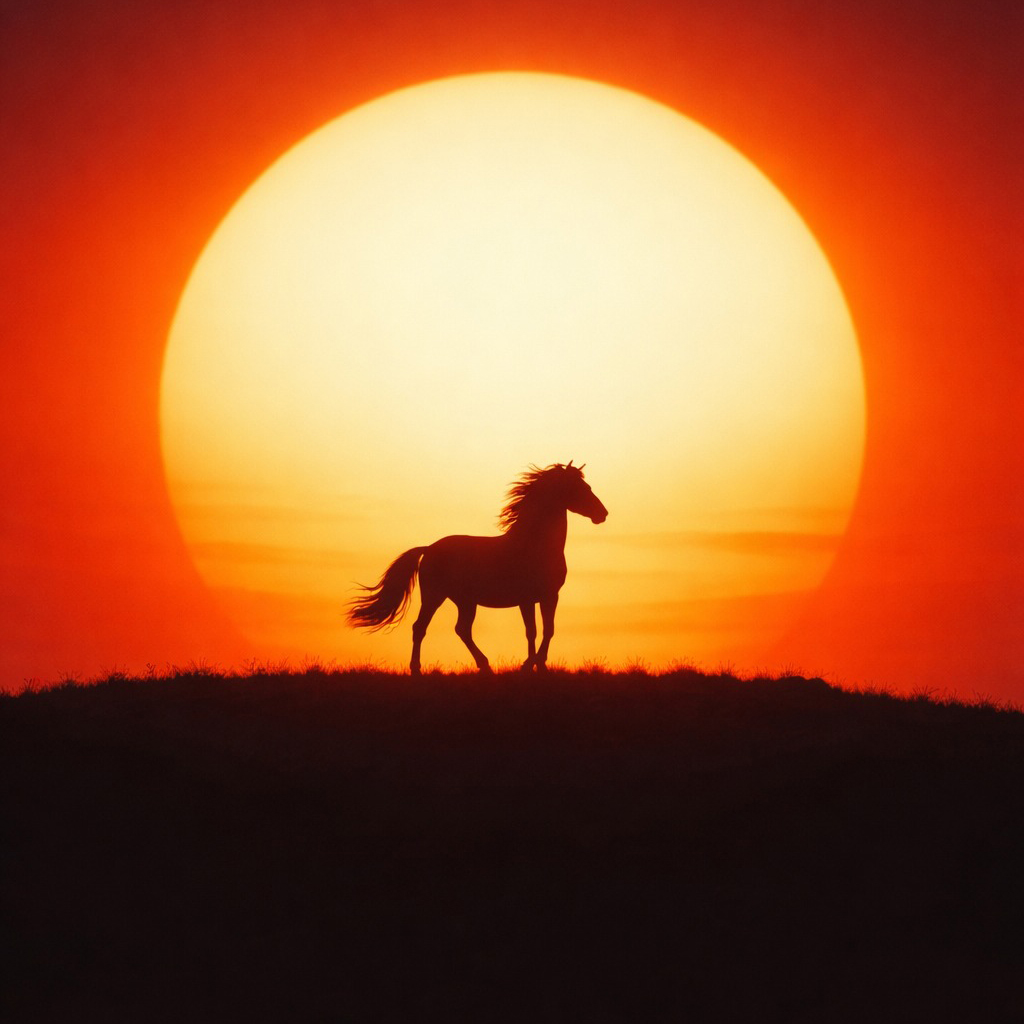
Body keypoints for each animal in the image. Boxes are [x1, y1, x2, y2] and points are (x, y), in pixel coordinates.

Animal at [346, 462, 608, 674]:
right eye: (581, 488)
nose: (602, 514)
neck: (534, 544)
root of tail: (429, 548)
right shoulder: (532, 598)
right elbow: (537, 631)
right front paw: (531, 665)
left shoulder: (544, 597)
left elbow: (543, 630)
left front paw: (536, 666)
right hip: (434, 596)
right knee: (421, 627)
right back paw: (417, 669)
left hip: (465, 601)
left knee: (462, 629)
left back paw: (484, 665)